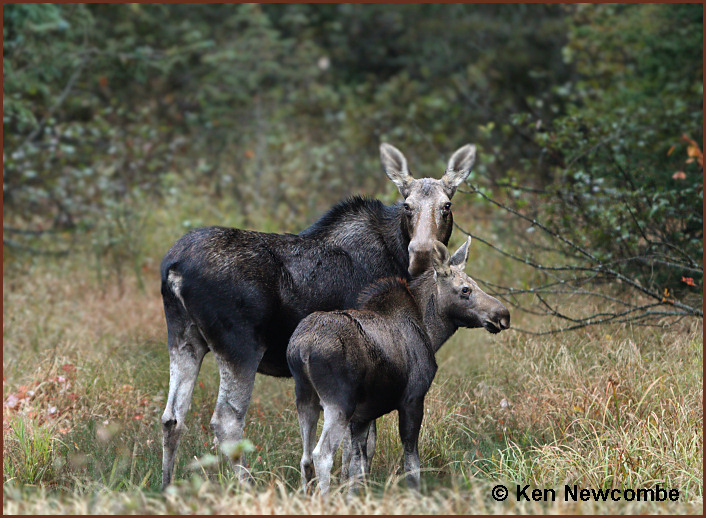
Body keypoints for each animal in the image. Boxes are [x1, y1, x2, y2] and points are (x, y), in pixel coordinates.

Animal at [159, 143, 478, 489]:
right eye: (407, 206)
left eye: (447, 205)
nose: (422, 254)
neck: (395, 254)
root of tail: (173, 268)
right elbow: (359, 447)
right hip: (239, 345)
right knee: (227, 421)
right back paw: (248, 487)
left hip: (184, 337)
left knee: (172, 417)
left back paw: (166, 488)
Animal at [287, 238, 510, 497]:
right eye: (465, 289)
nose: (503, 315)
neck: (431, 332)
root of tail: (302, 348)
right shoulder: (412, 399)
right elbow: (411, 465)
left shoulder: (363, 416)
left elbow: (356, 466)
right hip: (338, 402)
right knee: (321, 455)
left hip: (305, 398)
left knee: (305, 458)